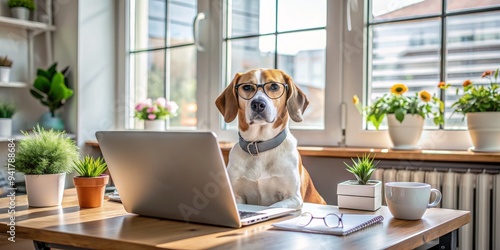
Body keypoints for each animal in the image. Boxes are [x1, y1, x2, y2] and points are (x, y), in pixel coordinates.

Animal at [216, 68, 328, 209]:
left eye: (274, 86)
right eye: (247, 87)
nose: (258, 104)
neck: (260, 145)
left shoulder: (293, 198)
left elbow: (274, 207)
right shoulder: (237, 197)